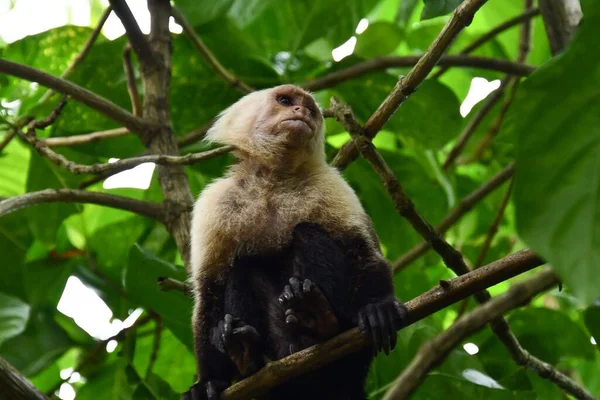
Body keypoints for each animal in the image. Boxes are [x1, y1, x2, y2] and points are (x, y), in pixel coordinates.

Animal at [184, 85, 408, 400]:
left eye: (311, 109)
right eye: (285, 101)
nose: (302, 111)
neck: (273, 180)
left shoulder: (330, 185)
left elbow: (361, 248)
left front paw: (379, 306)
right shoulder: (215, 203)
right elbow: (209, 290)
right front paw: (208, 381)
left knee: (308, 233)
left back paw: (320, 322)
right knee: (242, 266)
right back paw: (246, 356)